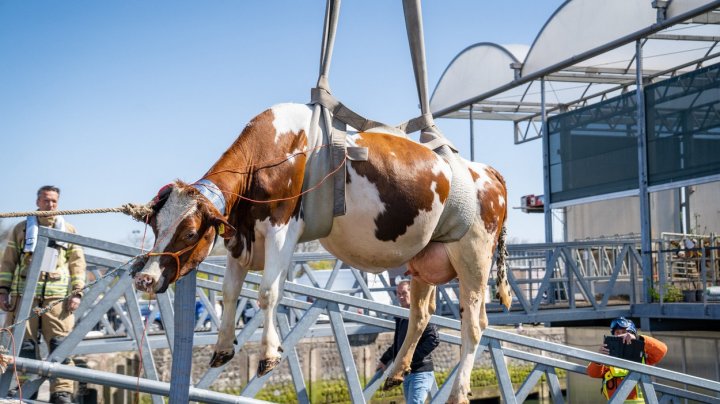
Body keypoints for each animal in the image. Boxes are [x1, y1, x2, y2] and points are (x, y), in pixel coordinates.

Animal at [131, 102, 512, 402]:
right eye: (155, 226)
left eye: (189, 232)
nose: (144, 279)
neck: (268, 154)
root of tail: (487, 171)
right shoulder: (241, 237)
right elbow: (230, 292)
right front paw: (223, 347)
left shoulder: (281, 227)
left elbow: (267, 292)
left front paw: (269, 354)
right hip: (426, 259)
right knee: (421, 314)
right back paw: (396, 372)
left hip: (473, 255)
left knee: (474, 325)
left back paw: (459, 392)